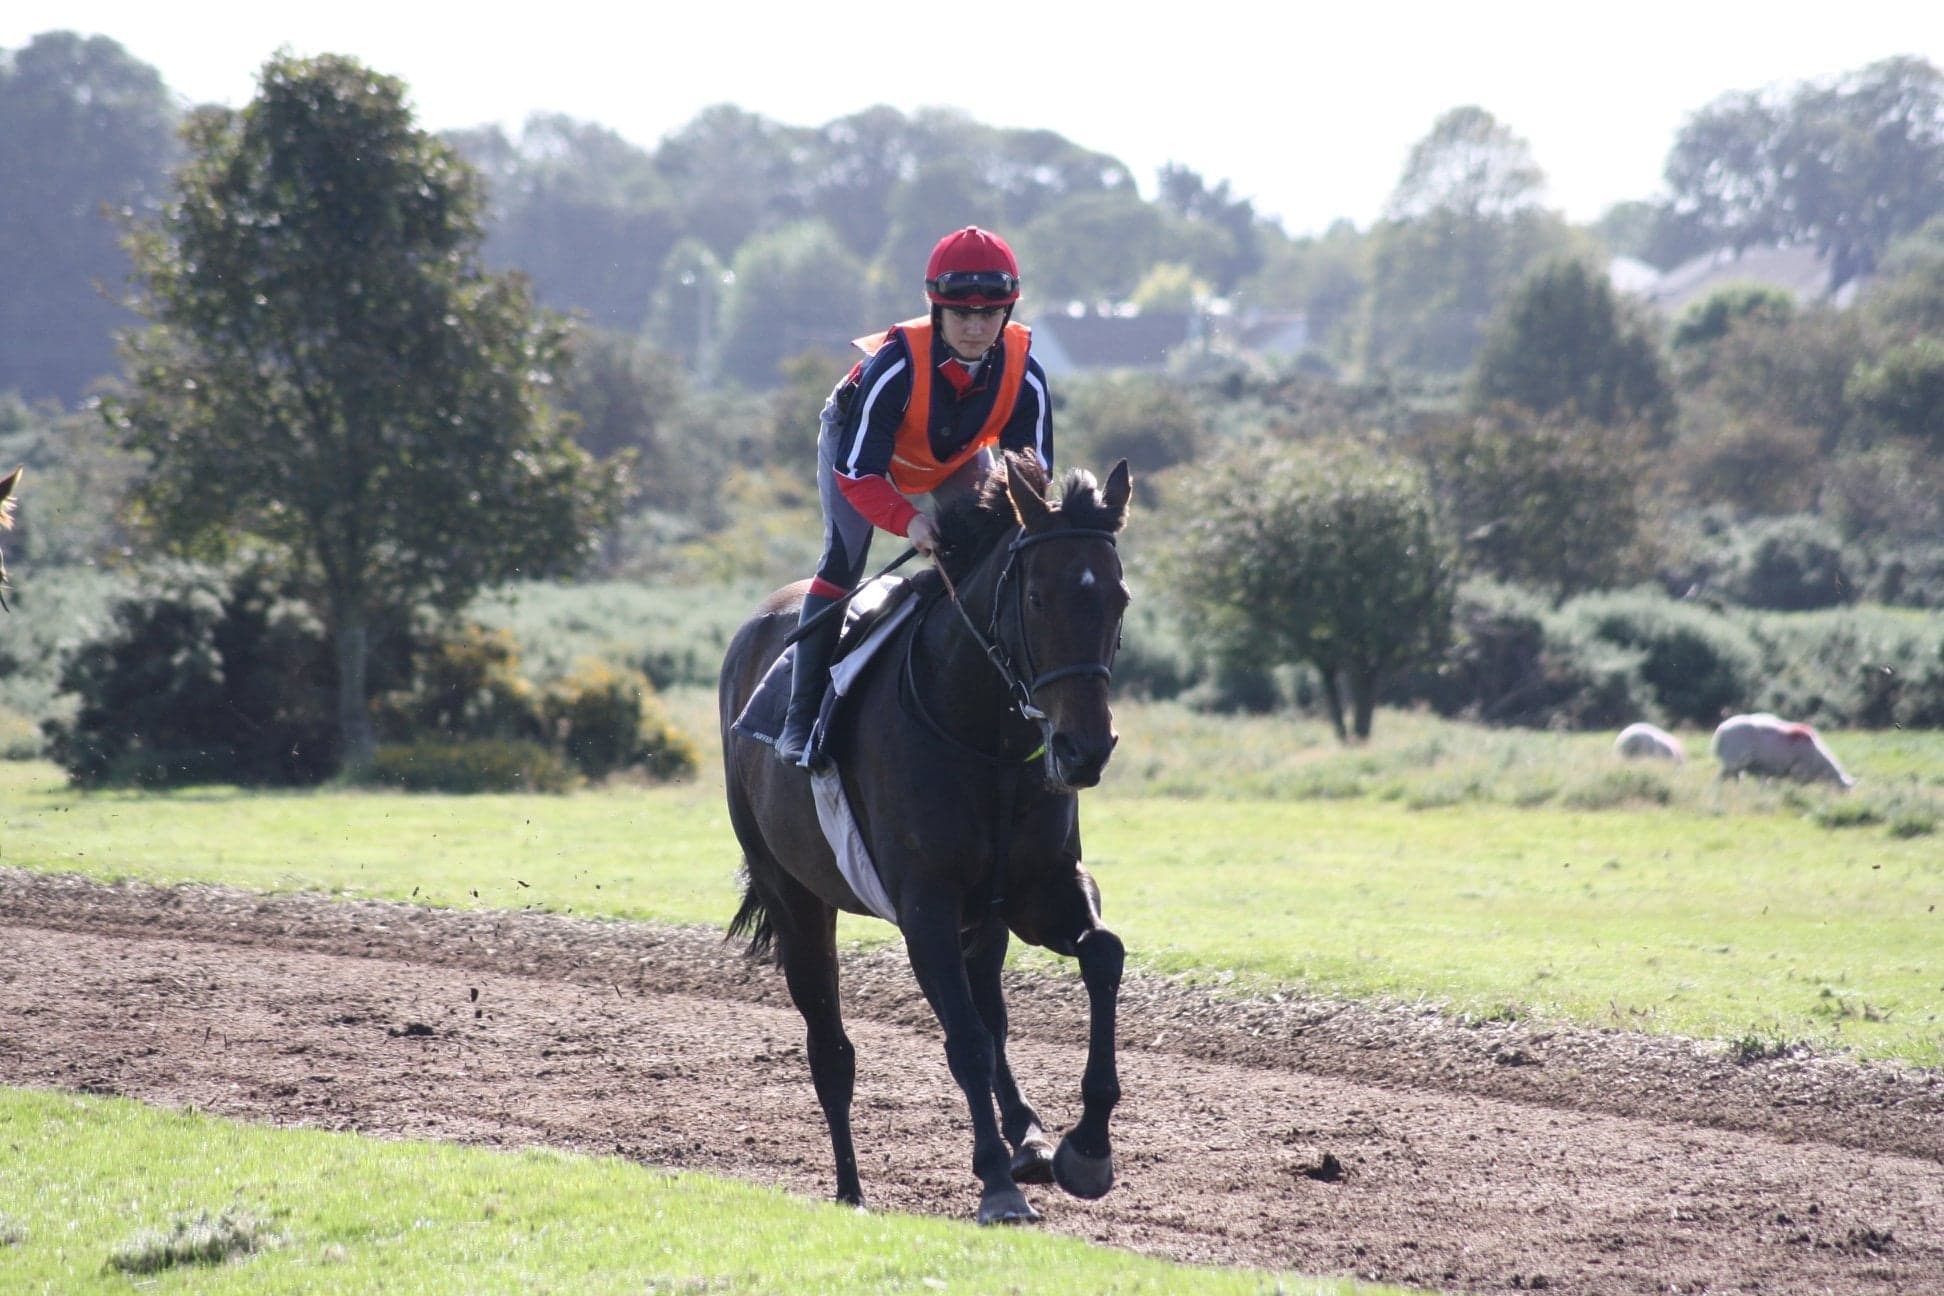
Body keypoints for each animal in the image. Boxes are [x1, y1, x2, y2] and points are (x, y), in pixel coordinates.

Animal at [723, 450, 1135, 1220]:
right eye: (1038, 598)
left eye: (1117, 599)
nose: (1084, 750)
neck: (986, 736)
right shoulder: (926, 907)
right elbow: (963, 1039)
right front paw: (997, 1184)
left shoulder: (1040, 888)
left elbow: (1102, 956)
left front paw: (1085, 1147)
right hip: (795, 896)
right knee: (832, 1048)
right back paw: (851, 1189)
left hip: (987, 919)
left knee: (993, 1010)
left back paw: (1029, 1136)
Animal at [1718, 711, 1850, 792]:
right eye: (1845, 791)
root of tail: (1721, 731)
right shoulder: (1799, 772)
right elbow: (1797, 787)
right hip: (1733, 762)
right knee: (1719, 780)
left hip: (1735, 766)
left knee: (1734, 779)